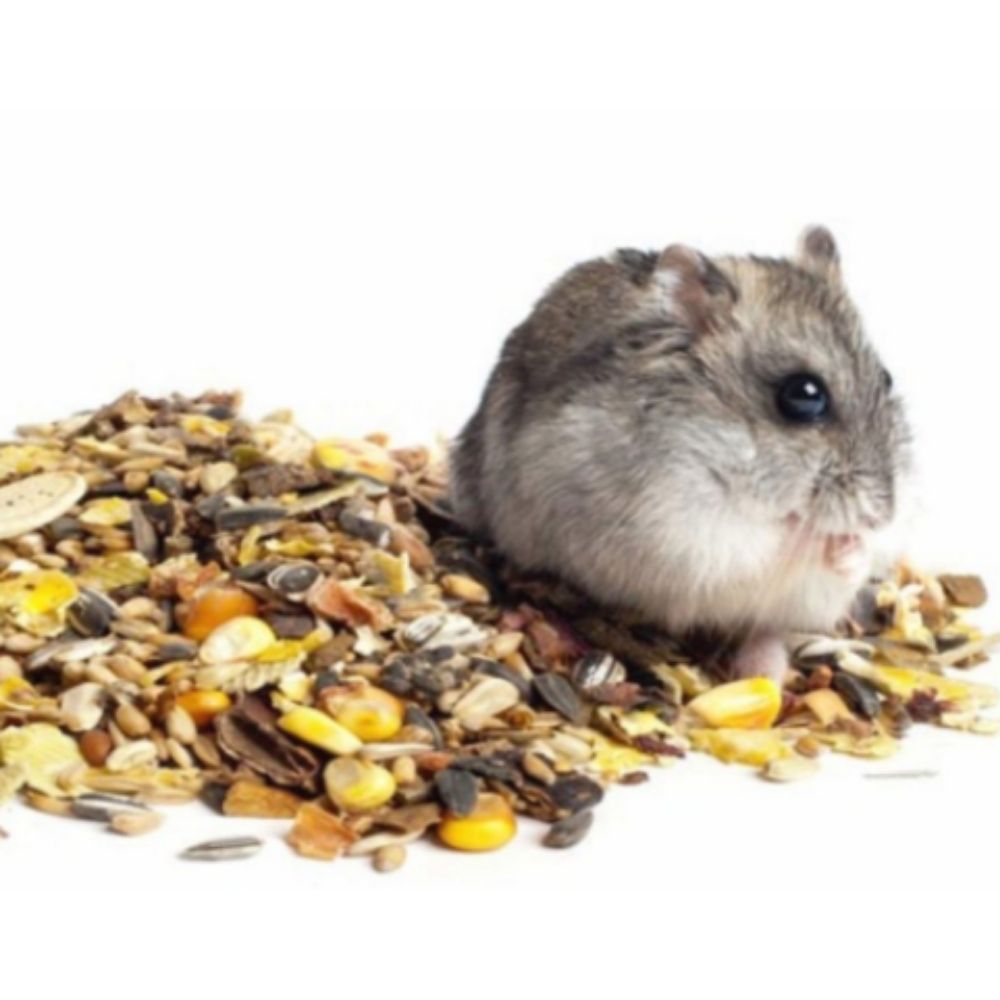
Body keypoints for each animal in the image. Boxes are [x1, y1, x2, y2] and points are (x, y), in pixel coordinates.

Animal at [450, 227, 912, 681]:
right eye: (803, 395)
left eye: (887, 379)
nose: (881, 515)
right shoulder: (681, 530)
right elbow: (764, 546)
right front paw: (817, 537)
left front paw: (852, 546)